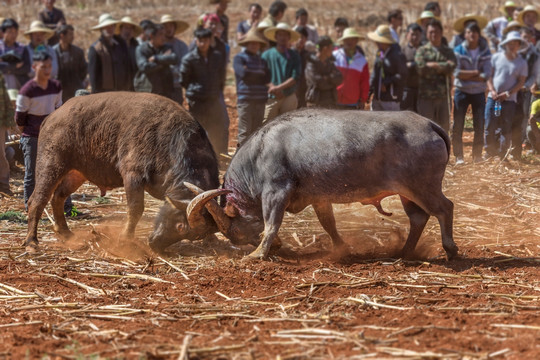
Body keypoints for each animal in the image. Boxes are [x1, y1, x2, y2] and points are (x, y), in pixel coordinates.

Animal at [184, 108, 458, 260]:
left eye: (240, 233)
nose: (279, 248)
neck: (260, 151)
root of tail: (428, 124)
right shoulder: (319, 198)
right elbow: (329, 224)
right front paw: (341, 248)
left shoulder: (276, 192)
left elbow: (271, 224)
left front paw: (258, 253)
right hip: (407, 193)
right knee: (418, 218)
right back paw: (404, 251)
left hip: (423, 187)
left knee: (445, 208)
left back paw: (450, 248)